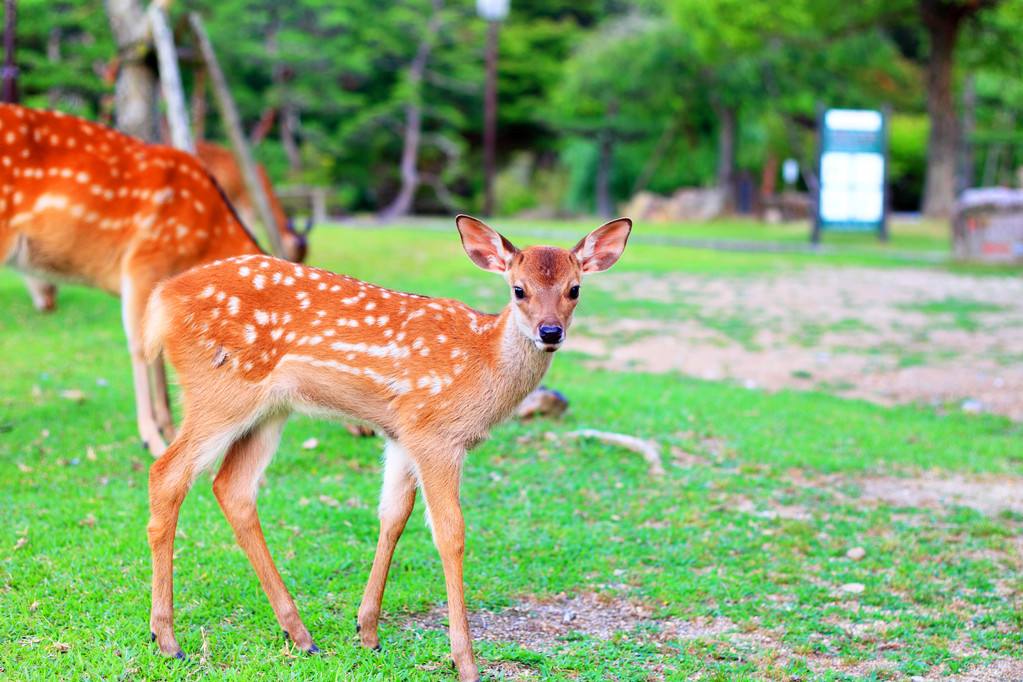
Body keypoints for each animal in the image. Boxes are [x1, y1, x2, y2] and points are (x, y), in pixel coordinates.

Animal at [144, 213, 630, 678]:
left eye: (574, 289)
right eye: (519, 289)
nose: (550, 332)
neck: (482, 363)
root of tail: (162, 299)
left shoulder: (402, 434)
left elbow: (394, 515)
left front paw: (368, 631)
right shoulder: (436, 435)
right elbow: (450, 533)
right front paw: (465, 662)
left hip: (269, 409)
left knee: (233, 487)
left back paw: (299, 634)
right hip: (218, 391)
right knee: (167, 472)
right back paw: (167, 640)